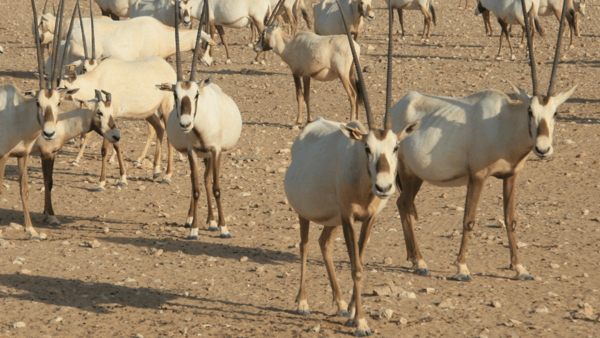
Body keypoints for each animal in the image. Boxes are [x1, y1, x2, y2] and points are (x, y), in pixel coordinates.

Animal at [0, 0, 77, 240]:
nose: (49, 133)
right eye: (37, 102)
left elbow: (24, 189)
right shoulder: (2, 156)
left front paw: (32, 229)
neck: (17, 115)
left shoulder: (22, 155)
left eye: (59, 103)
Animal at [161, 0, 245, 238]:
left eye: (196, 94)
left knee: (209, 180)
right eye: (175, 95)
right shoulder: (192, 151)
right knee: (198, 182)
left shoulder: (215, 151)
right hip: (201, 155)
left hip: (210, 154)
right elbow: (196, 187)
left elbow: (215, 187)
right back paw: (194, 220)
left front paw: (224, 227)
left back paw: (213, 221)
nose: (185, 124)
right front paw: (194, 229)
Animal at [284, 1, 420, 336]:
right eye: (367, 148)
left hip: (330, 219)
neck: (362, 182)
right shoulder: (347, 217)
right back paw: (303, 303)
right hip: (305, 213)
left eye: (395, 147)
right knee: (305, 245)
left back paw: (341, 303)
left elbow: (359, 260)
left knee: (323, 244)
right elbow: (356, 266)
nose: (384, 187)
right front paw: (361, 322)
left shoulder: (367, 218)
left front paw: (354, 314)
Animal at [392, 0, 576, 282]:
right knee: (404, 203)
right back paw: (420, 262)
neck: (504, 123)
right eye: (530, 111)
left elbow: (510, 219)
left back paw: (415, 260)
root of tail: (398, 106)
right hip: (407, 172)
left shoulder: (511, 176)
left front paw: (520, 268)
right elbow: (468, 219)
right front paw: (462, 268)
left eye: (555, 113)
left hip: (416, 176)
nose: (543, 148)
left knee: (405, 204)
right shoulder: (477, 176)